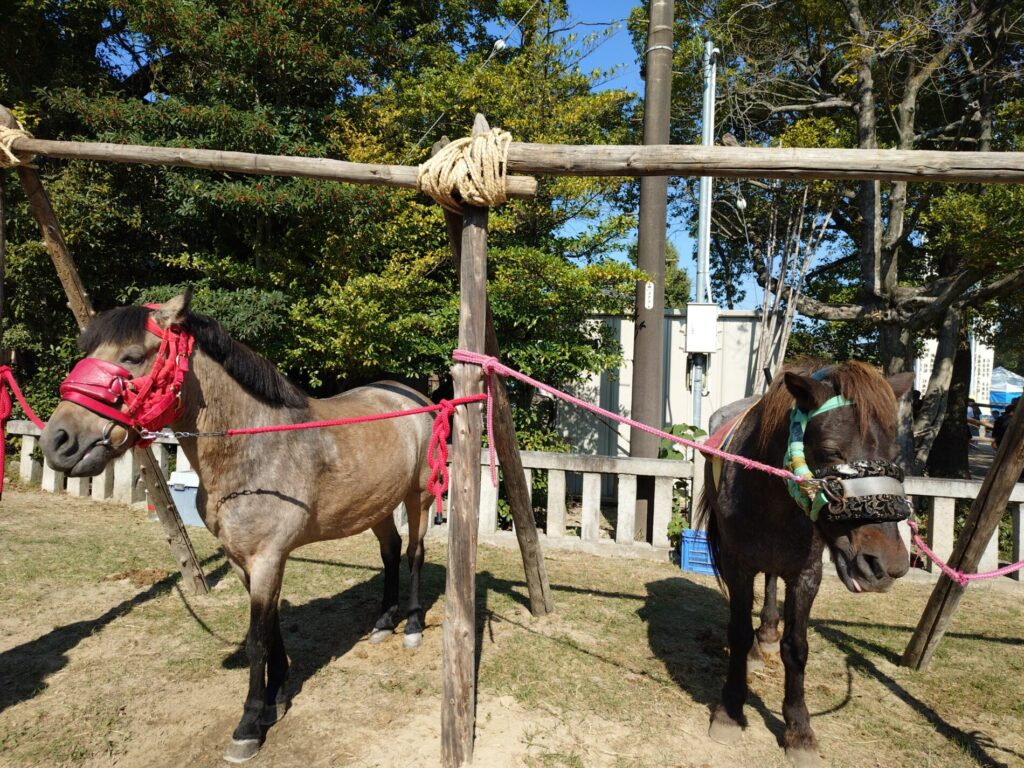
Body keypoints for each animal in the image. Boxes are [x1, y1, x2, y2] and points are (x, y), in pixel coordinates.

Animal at [40, 292, 437, 763]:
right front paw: (276, 698)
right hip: (377, 506)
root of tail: (416, 397)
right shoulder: (241, 559)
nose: (58, 442)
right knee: (390, 552)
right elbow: (271, 628)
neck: (253, 446)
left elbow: (257, 640)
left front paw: (248, 726)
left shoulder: (268, 558)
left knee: (414, 554)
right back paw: (382, 623)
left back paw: (411, 628)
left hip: (419, 496)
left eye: (132, 357)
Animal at [696, 362, 915, 767]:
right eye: (830, 450)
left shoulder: (806, 574)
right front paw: (730, 712)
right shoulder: (737, 565)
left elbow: (796, 649)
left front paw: (799, 731)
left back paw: (766, 636)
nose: (886, 564)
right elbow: (738, 632)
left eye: (896, 454)